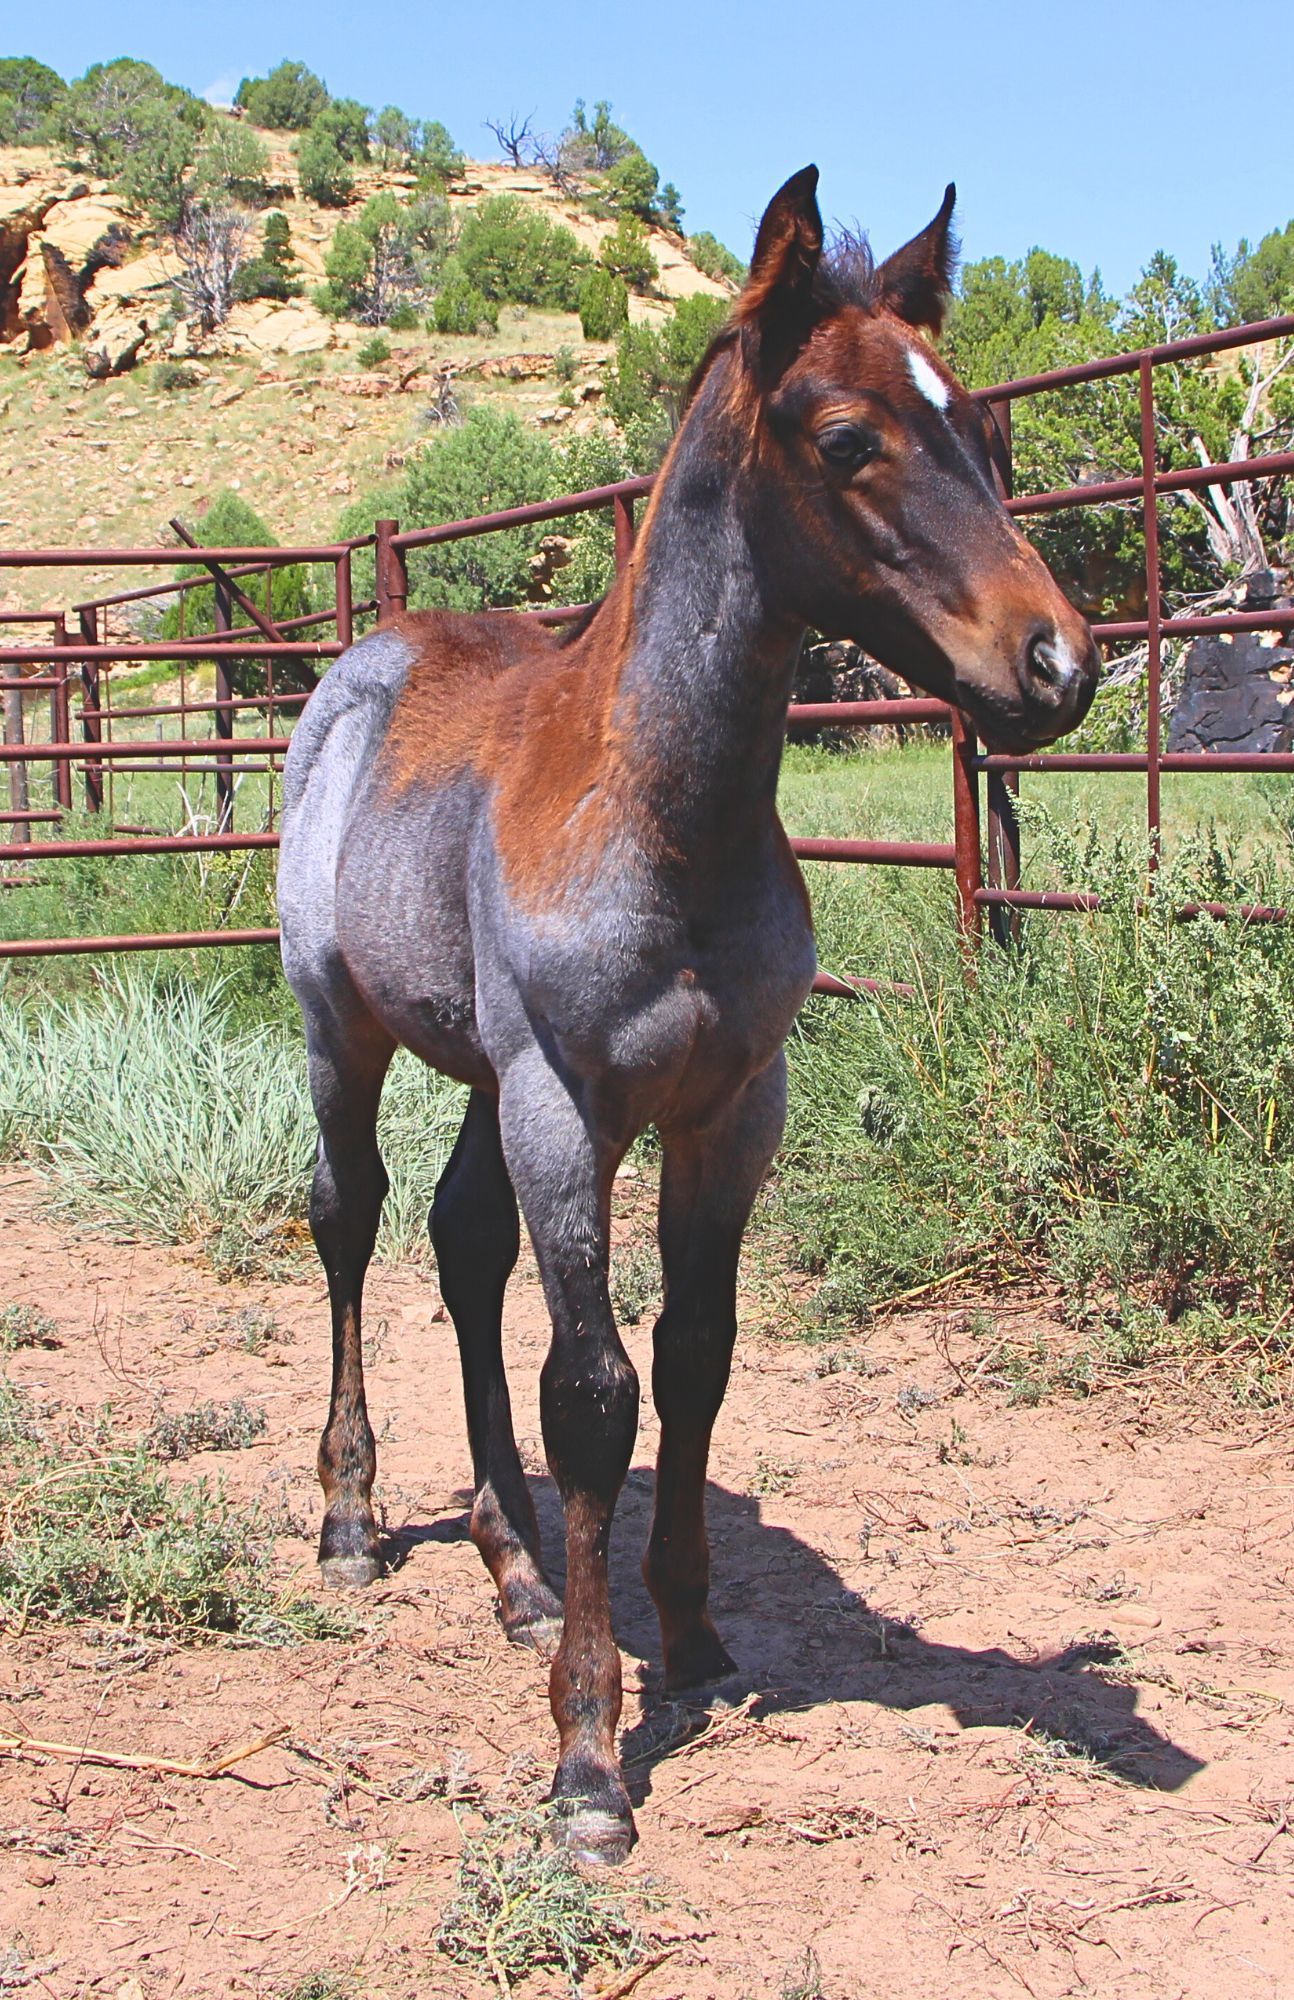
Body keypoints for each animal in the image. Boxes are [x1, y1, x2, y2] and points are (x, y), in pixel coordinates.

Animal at [278, 166, 1098, 1865]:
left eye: (985, 439)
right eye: (845, 439)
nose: (1058, 666)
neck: (661, 813)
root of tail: (367, 655)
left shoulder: (733, 1104)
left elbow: (699, 1358)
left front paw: (699, 1636)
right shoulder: (566, 1102)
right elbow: (594, 1393)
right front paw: (590, 1757)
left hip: (479, 1074)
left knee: (460, 1244)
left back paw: (514, 1567)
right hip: (346, 1034)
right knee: (350, 1222)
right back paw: (352, 1518)